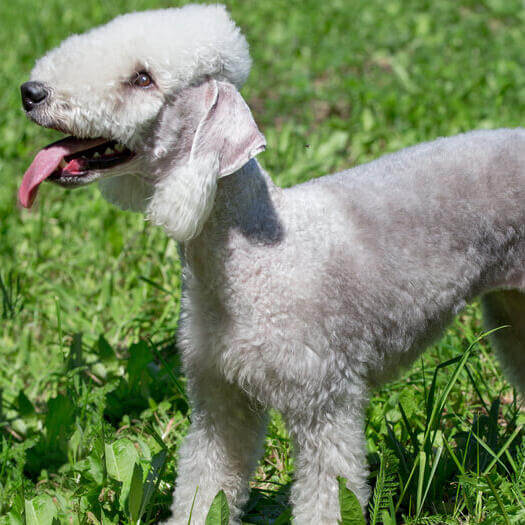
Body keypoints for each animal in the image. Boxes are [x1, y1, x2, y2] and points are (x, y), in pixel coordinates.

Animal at [18, 5, 520, 524]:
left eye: (143, 79)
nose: (31, 93)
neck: (255, 257)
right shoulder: (219, 401)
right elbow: (206, 485)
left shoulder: (326, 402)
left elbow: (328, 495)